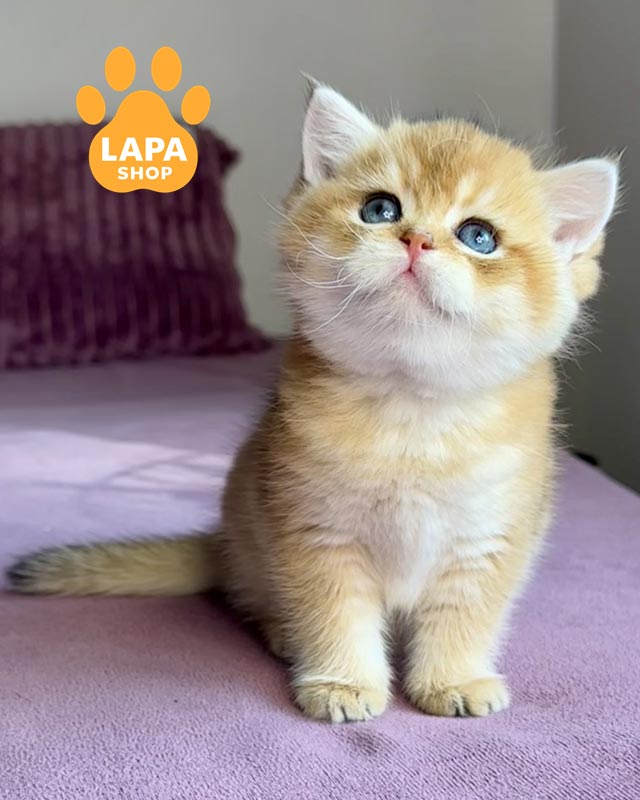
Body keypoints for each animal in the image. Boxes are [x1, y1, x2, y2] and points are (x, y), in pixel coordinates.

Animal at [8, 83, 618, 723]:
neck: (411, 411)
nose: (416, 239)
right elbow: (335, 615)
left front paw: (453, 679)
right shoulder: (316, 533)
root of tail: (220, 545)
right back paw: (281, 631)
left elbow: (464, 617)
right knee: (250, 599)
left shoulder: (488, 540)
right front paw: (343, 683)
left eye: (480, 237)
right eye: (380, 210)